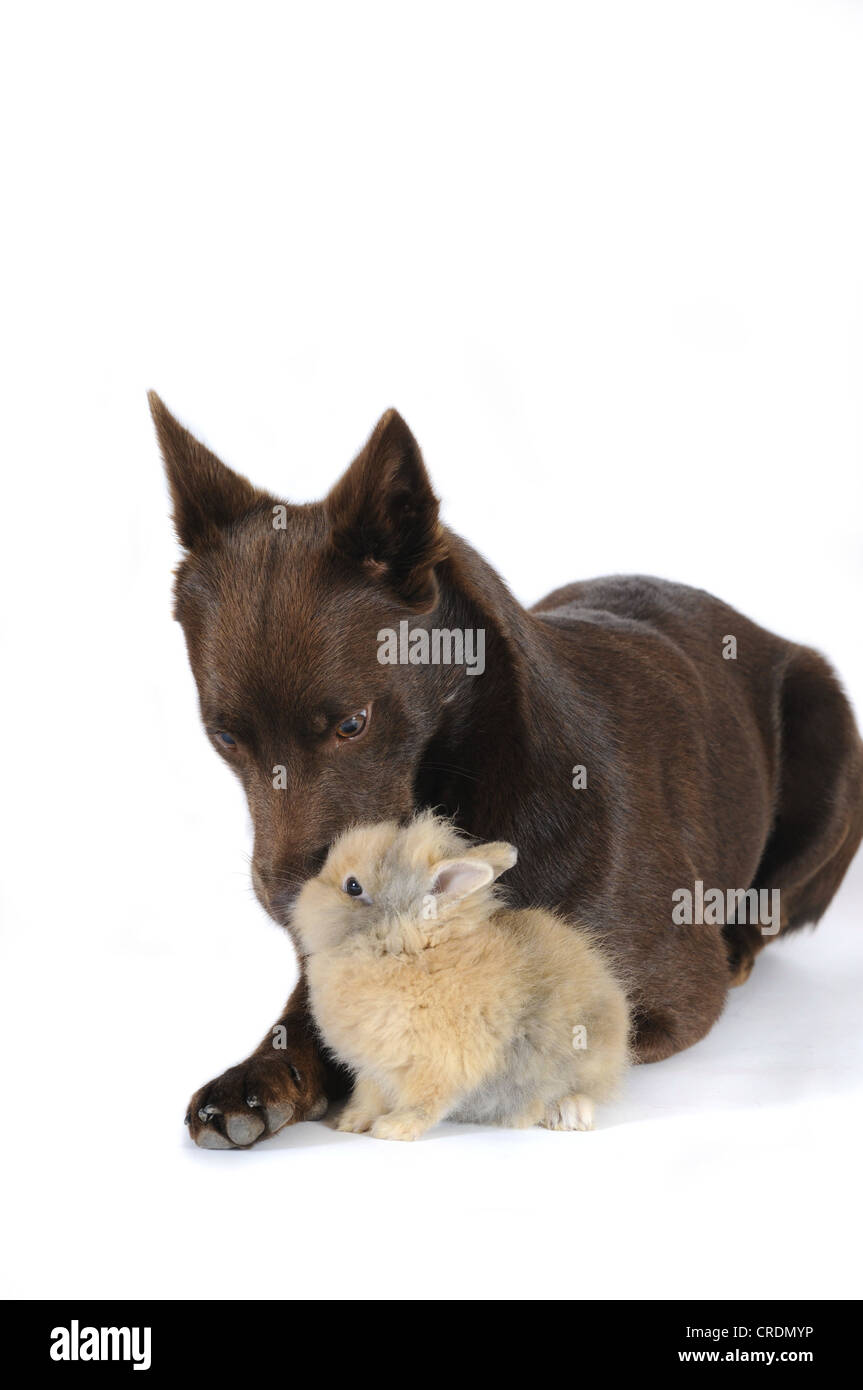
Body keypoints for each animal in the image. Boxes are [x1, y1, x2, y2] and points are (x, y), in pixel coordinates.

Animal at [293, 811, 628, 1139]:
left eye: (353, 886)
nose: (304, 892)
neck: (406, 950)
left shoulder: (442, 1063)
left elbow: (425, 1102)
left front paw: (392, 1129)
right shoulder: (374, 1066)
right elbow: (369, 1096)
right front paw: (351, 1123)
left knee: (580, 1089)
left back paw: (570, 1114)